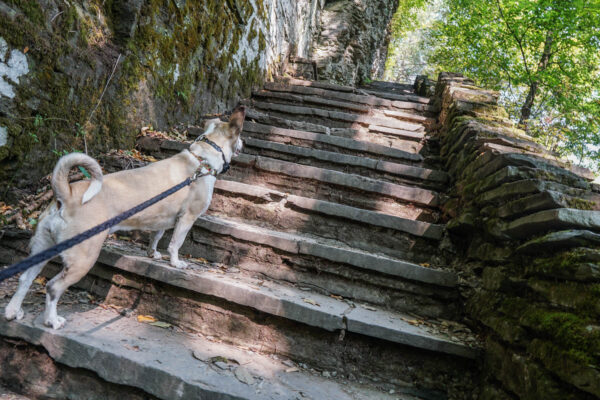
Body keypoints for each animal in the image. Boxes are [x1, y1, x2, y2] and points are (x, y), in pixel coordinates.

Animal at [4, 106, 244, 328]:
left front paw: (153, 253)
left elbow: (157, 236)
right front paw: (176, 263)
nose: (242, 144)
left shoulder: (163, 218)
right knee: (53, 287)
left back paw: (13, 311)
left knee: (25, 278)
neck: (203, 157)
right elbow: (176, 243)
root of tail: (67, 195)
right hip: (83, 258)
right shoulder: (188, 217)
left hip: (43, 248)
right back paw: (52, 321)